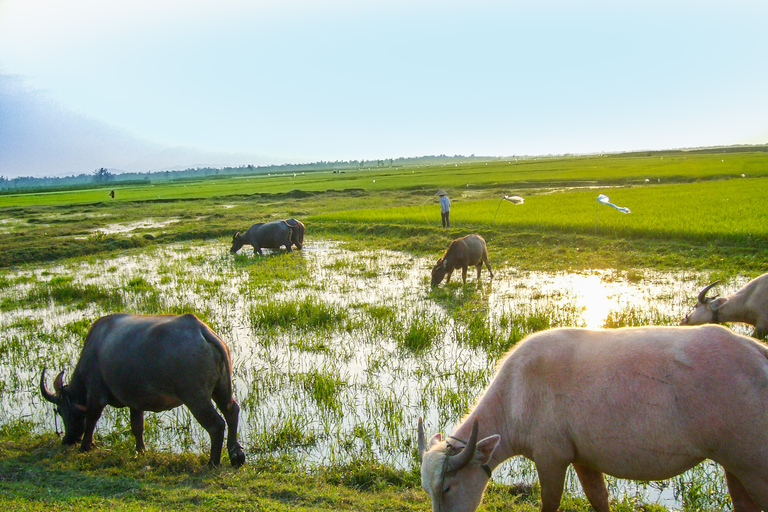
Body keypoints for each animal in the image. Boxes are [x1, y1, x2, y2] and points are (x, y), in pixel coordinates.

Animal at [39, 312, 244, 468]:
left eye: (61, 410)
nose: (67, 440)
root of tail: (202, 330)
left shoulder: (96, 397)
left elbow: (91, 420)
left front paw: (85, 446)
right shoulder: (135, 402)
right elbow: (137, 426)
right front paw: (140, 450)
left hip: (196, 398)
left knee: (216, 425)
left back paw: (213, 462)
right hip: (221, 389)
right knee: (231, 411)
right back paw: (236, 455)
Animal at [416, 326, 768, 510]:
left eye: (446, 488)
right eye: (427, 489)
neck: (515, 393)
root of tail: (757, 352)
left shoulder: (551, 458)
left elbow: (550, 503)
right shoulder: (584, 459)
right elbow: (598, 499)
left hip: (754, 465)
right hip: (734, 465)